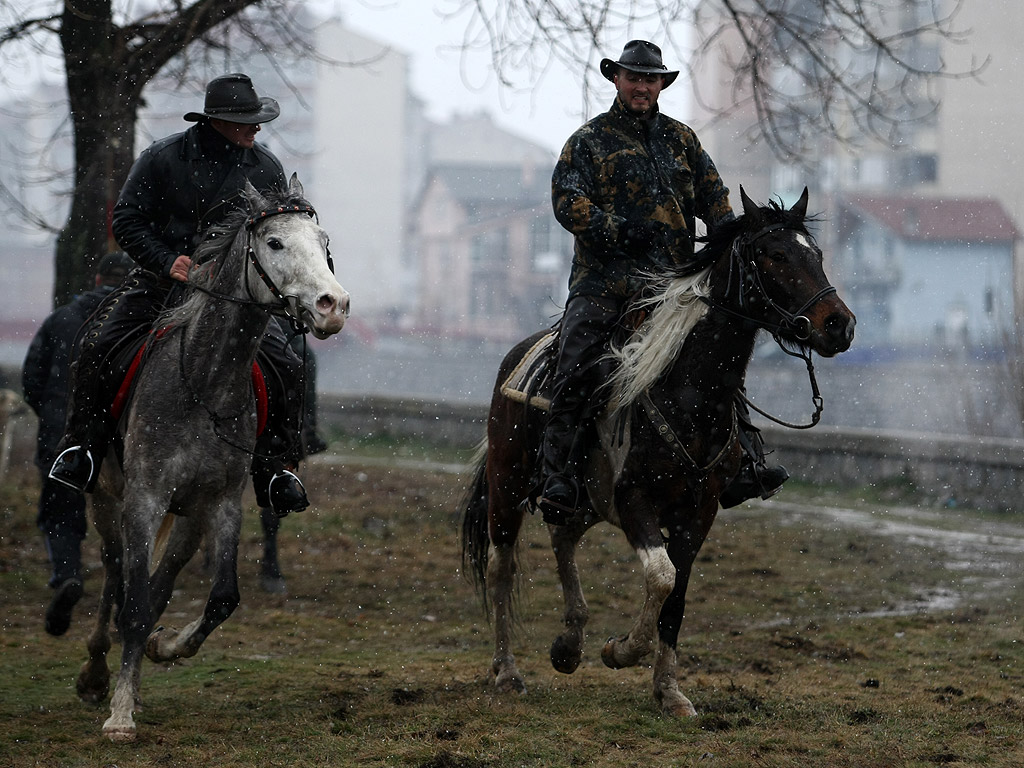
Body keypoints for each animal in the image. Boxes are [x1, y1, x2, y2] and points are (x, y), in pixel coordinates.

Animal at [74, 174, 350, 741]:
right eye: (274, 243)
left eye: (323, 241)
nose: (333, 305)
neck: (204, 383)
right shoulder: (145, 499)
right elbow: (132, 602)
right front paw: (119, 715)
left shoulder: (222, 502)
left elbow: (221, 597)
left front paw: (165, 647)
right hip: (108, 499)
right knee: (115, 575)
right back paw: (96, 674)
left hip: (190, 515)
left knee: (159, 582)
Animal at [462, 189, 856, 720]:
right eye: (775, 255)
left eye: (816, 254)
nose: (839, 324)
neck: (686, 392)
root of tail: (518, 357)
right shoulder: (634, 501)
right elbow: (661, 576)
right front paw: (621, 650)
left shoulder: (699, 513)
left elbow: (677, 595)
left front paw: (669, 691)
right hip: (507, 486)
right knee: (502, 567)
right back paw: (507, 673)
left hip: (584, 500)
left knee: (564, 535)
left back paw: (569, 644)